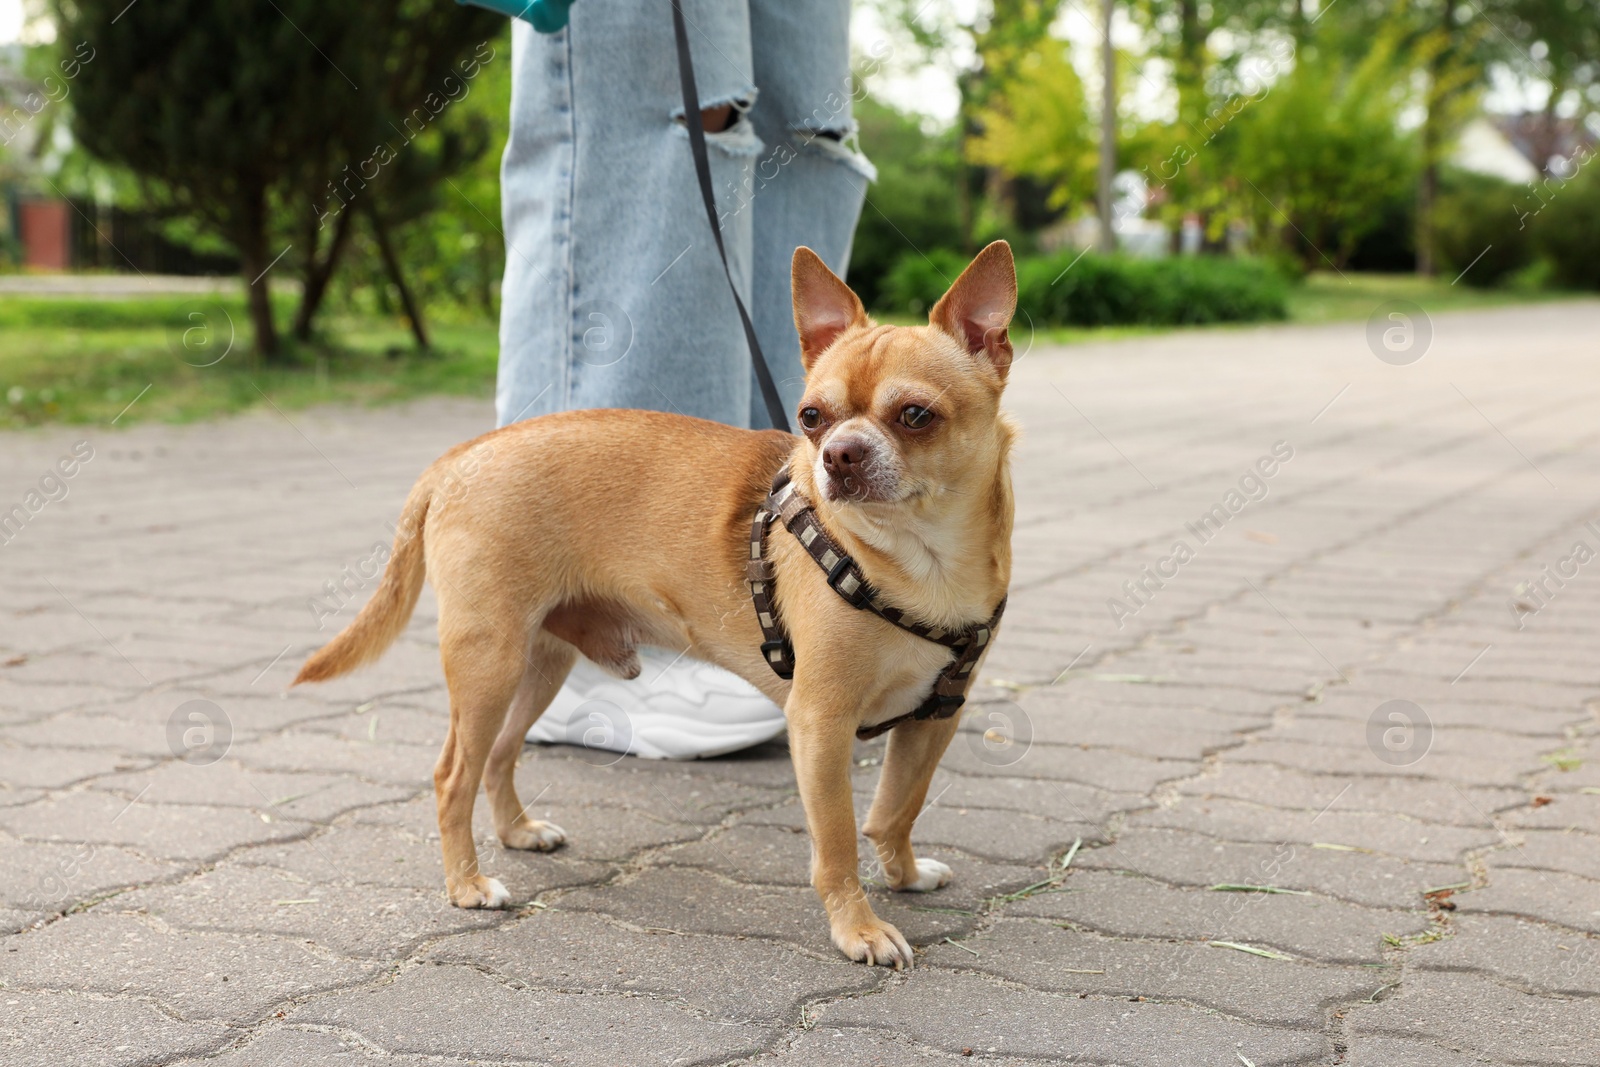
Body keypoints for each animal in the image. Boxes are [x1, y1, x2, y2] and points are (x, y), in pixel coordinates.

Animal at [300, 239, 1011, 966]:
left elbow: (896, 809)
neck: (918, 565)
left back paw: (518, 831)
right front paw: (858, 927)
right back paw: (467, 883)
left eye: (916, 415)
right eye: (811, 418)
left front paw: (904, 874)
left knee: (498, 756)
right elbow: (837, 840)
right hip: (488, 663)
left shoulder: (935, 718)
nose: (837, 454)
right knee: (452, 776)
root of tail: (460, 456)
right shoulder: (821, 723)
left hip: (537, 667)